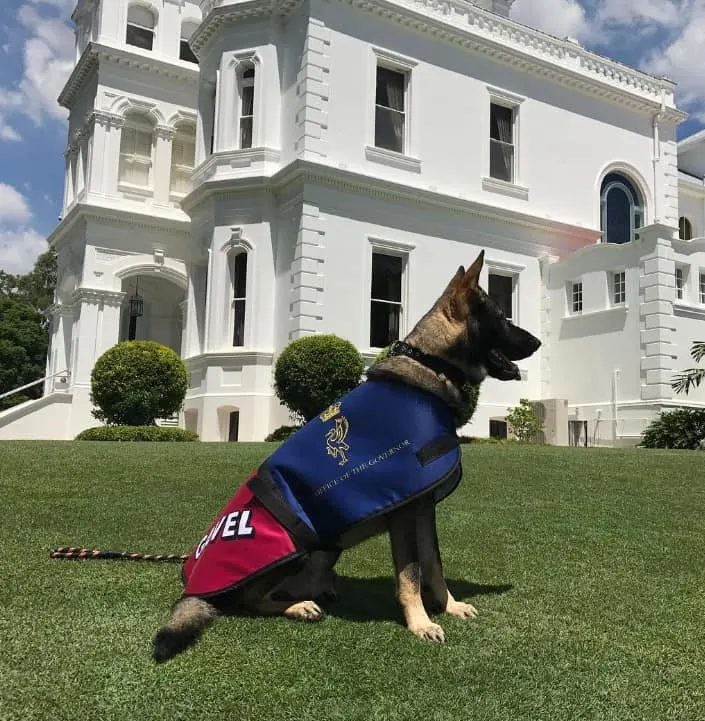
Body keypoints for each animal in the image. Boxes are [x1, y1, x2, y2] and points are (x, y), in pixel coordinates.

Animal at [153, 250, 540, 660]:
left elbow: (434, 563)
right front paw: (420, 622)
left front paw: (449, 606)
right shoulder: (406, 512)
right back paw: (300, 606)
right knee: (250, 600)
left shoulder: (422, 508)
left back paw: (320, 590)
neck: (429, 364)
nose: (538, 341)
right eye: (501, 316)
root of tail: (194, 581)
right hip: (296, 549)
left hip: (326, 550)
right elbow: (411, 574)